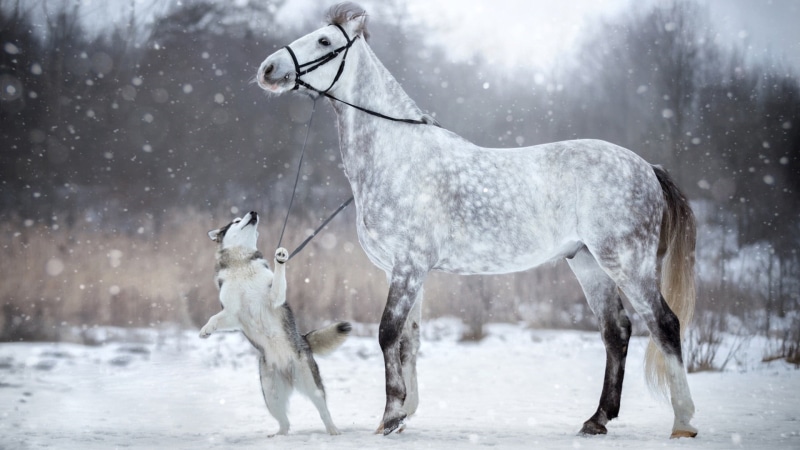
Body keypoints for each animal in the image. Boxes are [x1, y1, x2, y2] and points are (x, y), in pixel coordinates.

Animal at [256, 2, 698, 439]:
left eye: (324, 40)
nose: (268, 69)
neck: (397, 155)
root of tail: (647, 167)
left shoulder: (409, 266)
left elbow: (387, 333)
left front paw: (392, 415)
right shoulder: (400, 271)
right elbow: (408, 340)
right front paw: (402, 415)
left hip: (627, 262)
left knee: (664, 324)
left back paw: (683, 422)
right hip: (588, 263)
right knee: (616, 331)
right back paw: (597, 419)